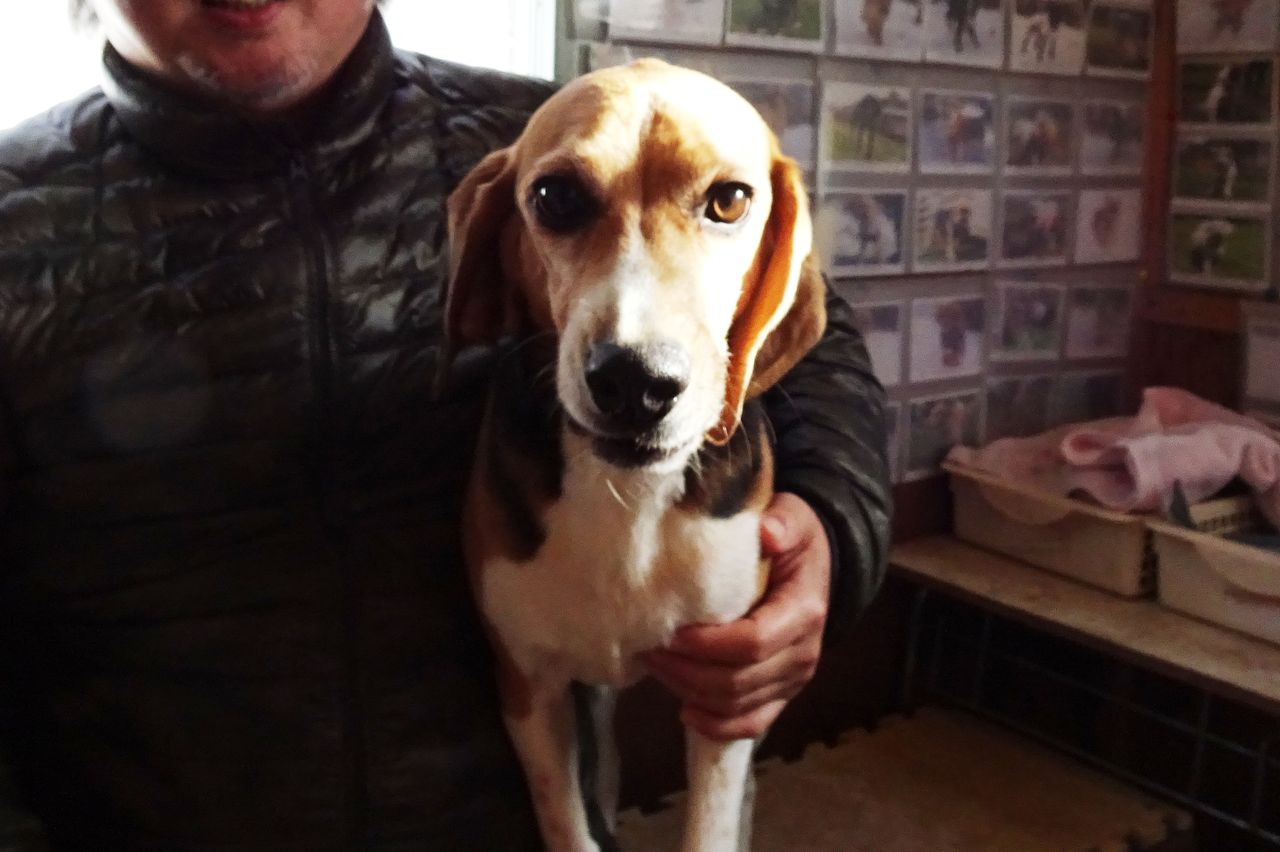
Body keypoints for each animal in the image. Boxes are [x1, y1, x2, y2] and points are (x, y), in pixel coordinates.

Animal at [441, 59, 826, 852]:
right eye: (555, 197)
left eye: (730, 200)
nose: (635, 383)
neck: (628, 496)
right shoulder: (531, 690)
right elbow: (569, 821)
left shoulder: (725, 695)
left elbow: (711, 823)